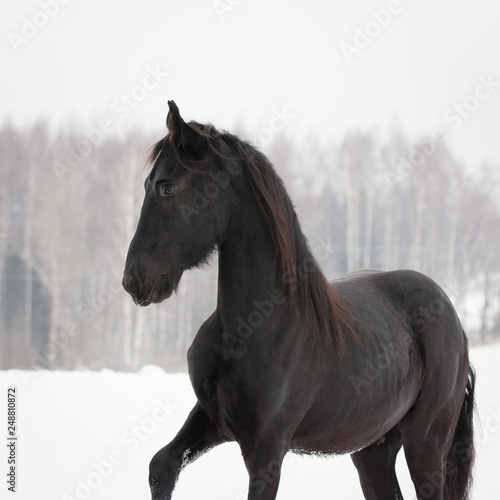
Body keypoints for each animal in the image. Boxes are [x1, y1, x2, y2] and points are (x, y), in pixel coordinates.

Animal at [123, 102, 474, 500]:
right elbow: (161, 466)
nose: (134, 280)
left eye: (168, 186)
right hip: (374, 449)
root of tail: (454, 321)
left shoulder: (266, 449)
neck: (251, 327)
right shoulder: (211, 419)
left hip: (425, 443)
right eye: (147, 184)